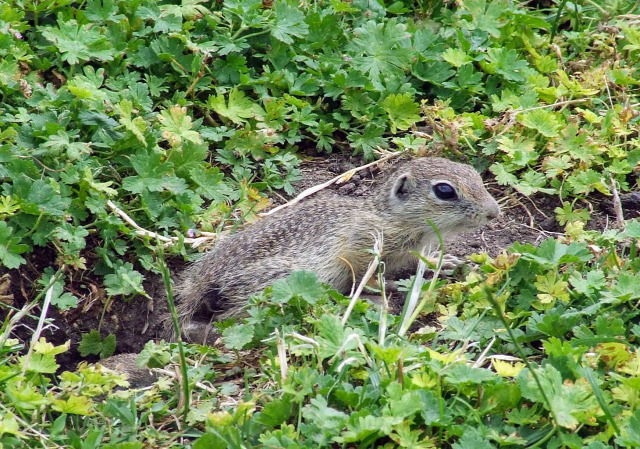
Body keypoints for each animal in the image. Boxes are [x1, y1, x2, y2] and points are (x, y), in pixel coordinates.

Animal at [174, 158, 500, 340]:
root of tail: (204, 279)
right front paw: (386, 289)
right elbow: (365, 273)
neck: (392, 215)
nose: (493, 213)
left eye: (474, 174)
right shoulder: (361, 243)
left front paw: (448, 263)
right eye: (444, 190)